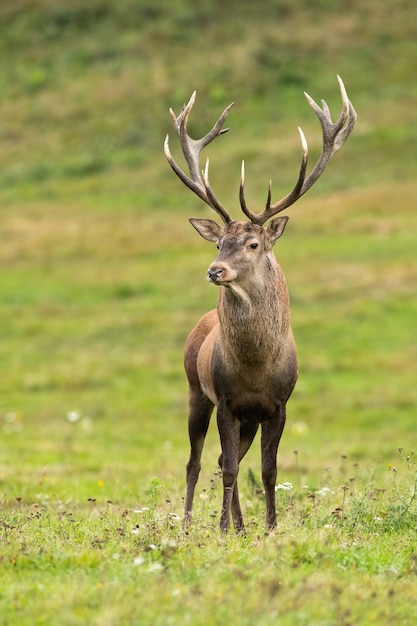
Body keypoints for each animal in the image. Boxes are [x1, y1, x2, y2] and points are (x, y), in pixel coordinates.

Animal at [164, 74, 356, 532]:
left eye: (252, 243)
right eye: (218, 242)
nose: (215, 270)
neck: (254, 368)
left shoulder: (278, 405)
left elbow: (268, 470)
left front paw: (268, 526)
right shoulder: (226, 402)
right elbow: (231, 468)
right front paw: (221, 528)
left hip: (246, 418)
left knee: (220, 458)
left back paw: (240, 523)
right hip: (196, 391)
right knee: (198, 462)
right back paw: (192, 523)